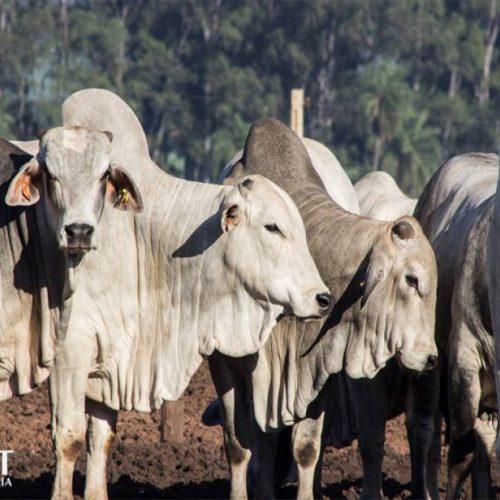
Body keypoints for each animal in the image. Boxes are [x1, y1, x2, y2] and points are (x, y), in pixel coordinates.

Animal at [211, 119, 438, 498]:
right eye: (411, 279)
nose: (431, 357)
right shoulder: (226, 364)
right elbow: (238, 444)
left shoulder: (314, 372)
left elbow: (306, 448)